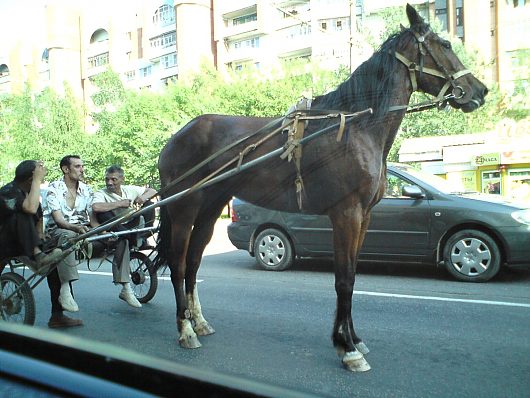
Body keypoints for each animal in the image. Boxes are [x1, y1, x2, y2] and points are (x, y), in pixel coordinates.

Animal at [155, 5, 484, 374]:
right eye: (445, 44)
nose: (480, 91)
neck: (357, 126)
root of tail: (177, 136)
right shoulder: (346, 215)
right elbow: (344, 279)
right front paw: (348, 349)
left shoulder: (364, 218)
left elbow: (352, 276)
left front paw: (352, 339)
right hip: (183, 209)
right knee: (179, 264)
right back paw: (185, 330)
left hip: (210, 210)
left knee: (193, 263)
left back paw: (198, 322)